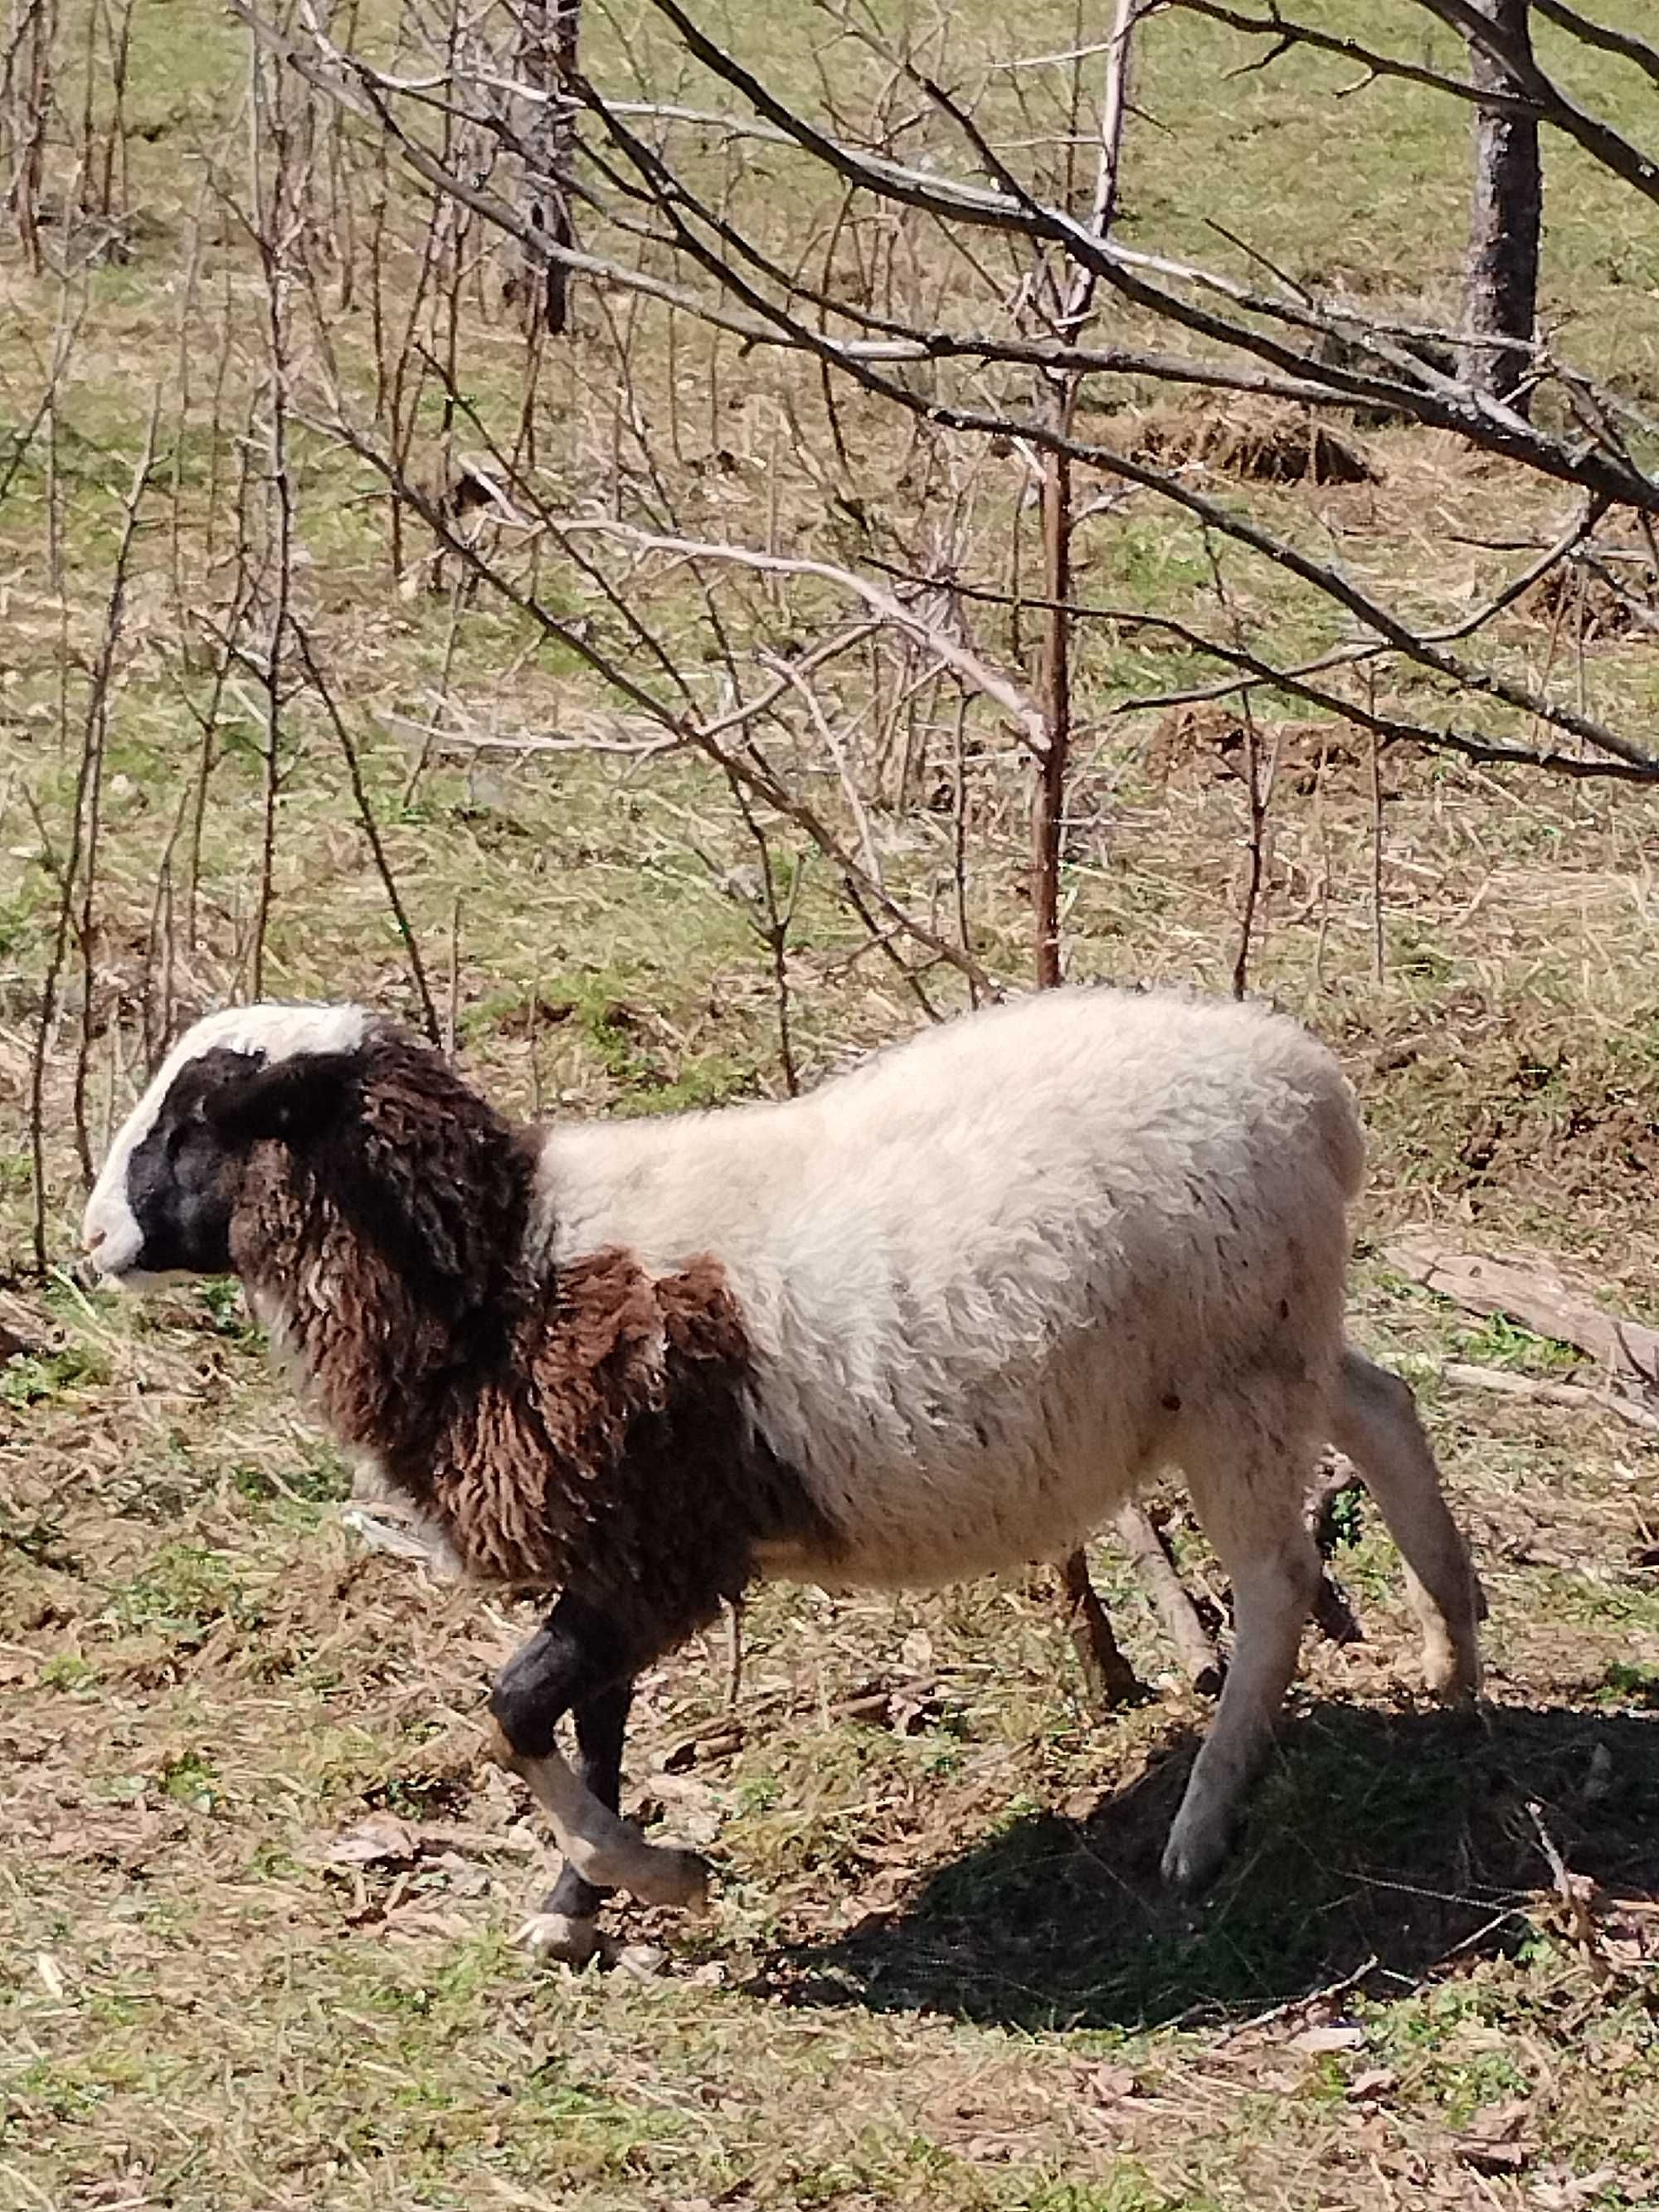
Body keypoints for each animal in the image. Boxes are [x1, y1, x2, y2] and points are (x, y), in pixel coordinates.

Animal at [81, 995, 1477, 1964]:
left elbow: (515, 1708)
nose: (90, 1236)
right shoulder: (614, 1544)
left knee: (1279, 1582)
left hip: (1235, 1376)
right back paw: (1453, 1650)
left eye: (200, 1122)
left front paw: (657, 1874)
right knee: (1386, 1407)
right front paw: (577, 1907)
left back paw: (1203, 1825)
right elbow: (590, 1725)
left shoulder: (659, 1554)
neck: (500, 1273)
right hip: (1273, 1346)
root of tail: (1308, 1085)